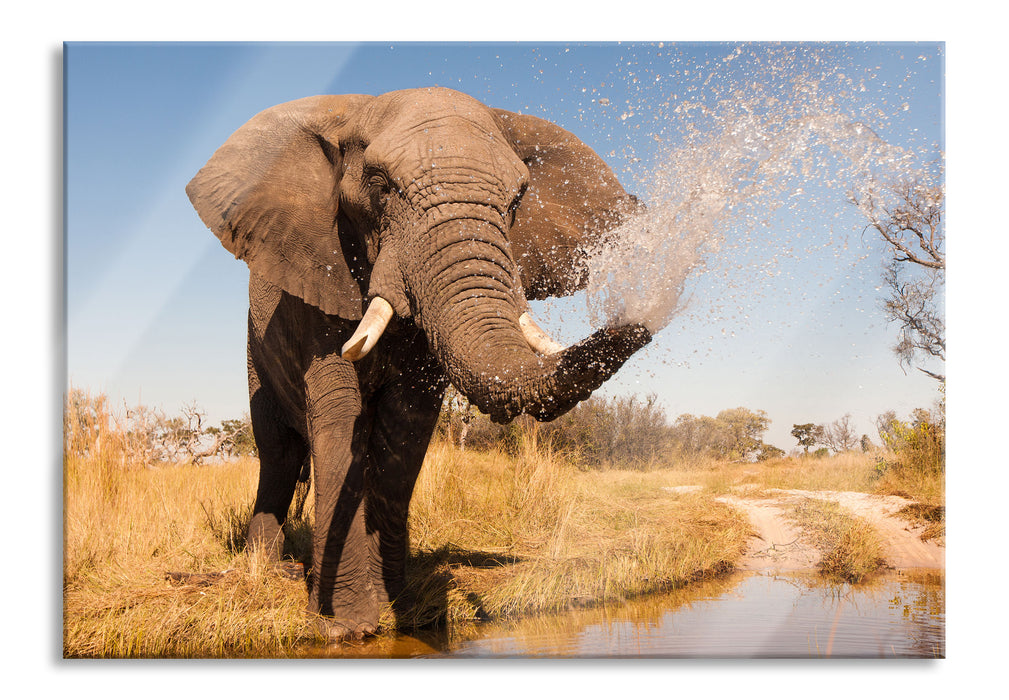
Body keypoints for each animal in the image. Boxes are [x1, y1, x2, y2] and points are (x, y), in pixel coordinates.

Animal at [185, 87, 649, 641]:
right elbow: (339, 414)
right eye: (380, 186)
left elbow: (406, 425)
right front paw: (346, 627)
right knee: (277, 451)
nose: (641, 321)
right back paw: (267, 569)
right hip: (256, 350)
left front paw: (398, 607)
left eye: (517, 199)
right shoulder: (319, 273)